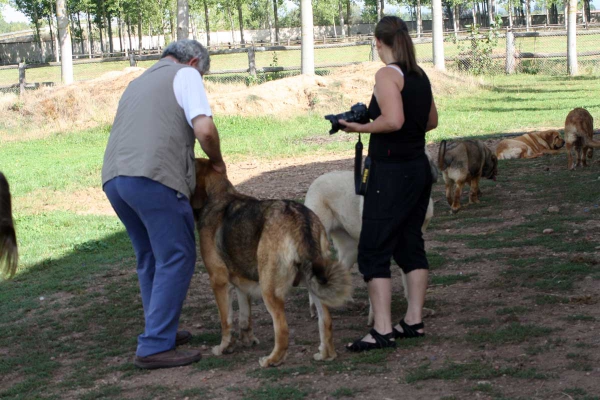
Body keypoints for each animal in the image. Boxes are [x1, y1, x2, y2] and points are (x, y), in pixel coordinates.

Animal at [191, 158, 352, 368]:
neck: (218, 194)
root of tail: (299, 217)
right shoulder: (241, 283)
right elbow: (245, 318)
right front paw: (247, 340)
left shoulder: (218, 281)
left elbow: (226, 321)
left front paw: (224, 347)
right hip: (314, 284)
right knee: (326, 321)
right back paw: (325, 354)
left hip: (269, 289)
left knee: (282, 330)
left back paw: (271, 360)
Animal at [304, 155, 436, 326]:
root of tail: (316, 180)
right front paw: (375, 319)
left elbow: (409, 283)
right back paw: (315, 307)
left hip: (351, 250)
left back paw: (348, 303)